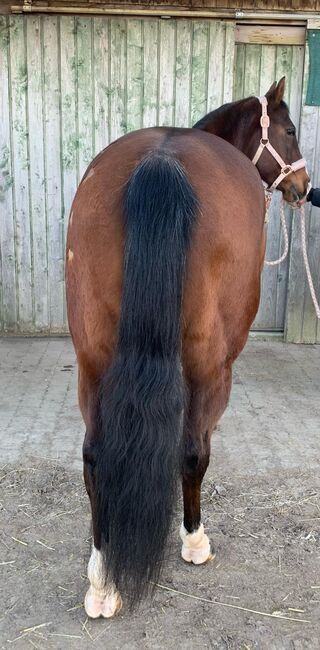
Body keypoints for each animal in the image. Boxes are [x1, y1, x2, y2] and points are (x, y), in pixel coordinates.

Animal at [66, 78, 308, 616]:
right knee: (194, 449)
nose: (304, 186)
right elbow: (193, 452)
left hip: (92, 361)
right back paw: (194, 539)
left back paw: (102, 580)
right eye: (289, 130)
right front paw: (193, 539)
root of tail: (161, 162)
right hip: (210, 364)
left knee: (94, 457)